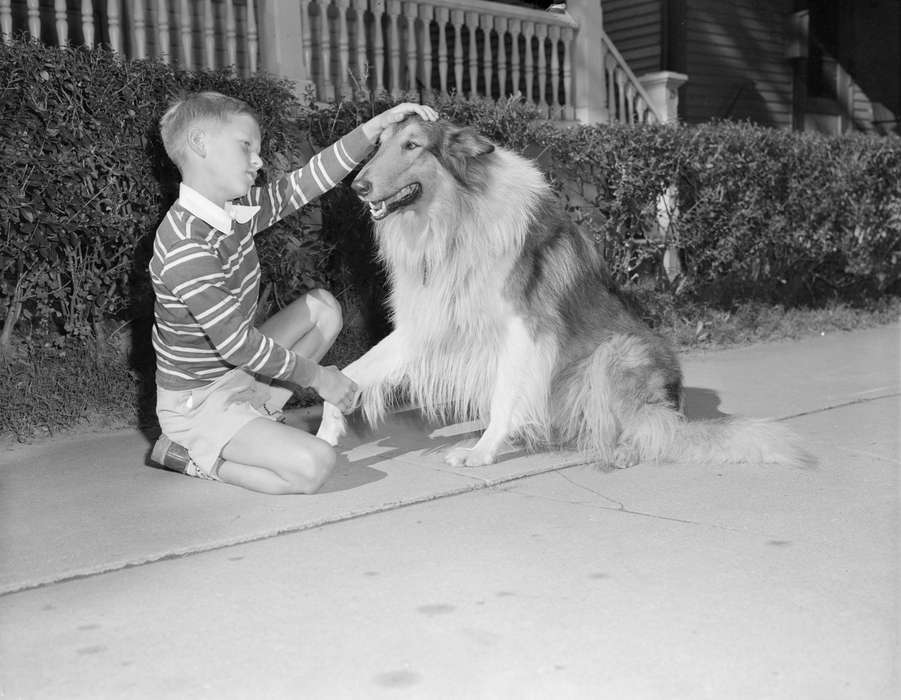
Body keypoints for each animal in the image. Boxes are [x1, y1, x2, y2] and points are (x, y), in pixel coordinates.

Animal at [316, 117, 808, 470]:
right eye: (378, 144)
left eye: (413, 146)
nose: (357, 186)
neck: (456, 219)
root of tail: (679, 404)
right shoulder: (425, 325)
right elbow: (354, 370)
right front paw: (327, 431)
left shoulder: (523, 328)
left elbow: (504, 396)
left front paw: (481, 452)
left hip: (617, 353)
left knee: (656, 430)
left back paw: (623, 452)